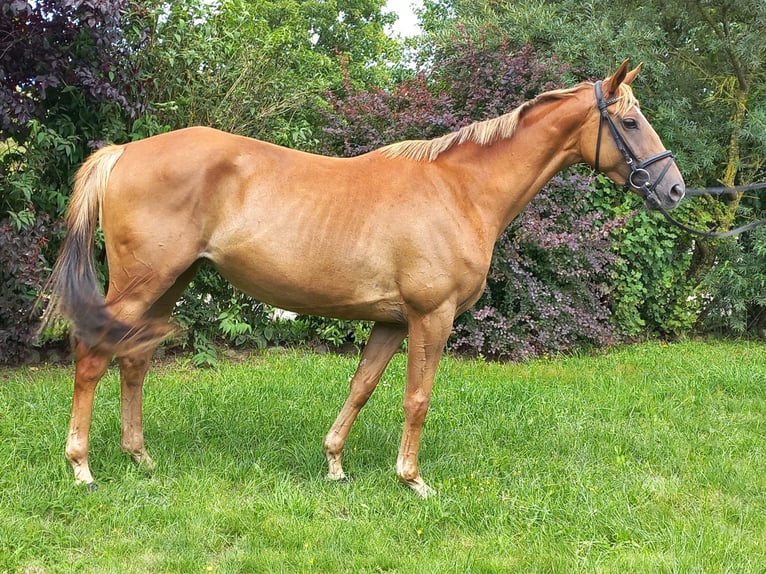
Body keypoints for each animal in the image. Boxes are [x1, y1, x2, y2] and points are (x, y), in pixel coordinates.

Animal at [45, 60, 688, 498]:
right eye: (631, 122)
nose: (676, 188)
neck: (459, 191)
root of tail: (124, 152)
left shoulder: (391, 322)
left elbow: (362, 387)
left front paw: (334, 463)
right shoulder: (431, 317)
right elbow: (417, 398)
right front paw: (412, 479)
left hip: (172, 282)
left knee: (134, 361)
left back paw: (140, 457)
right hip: (140, 285)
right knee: (93, 357)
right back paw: (81, 466)